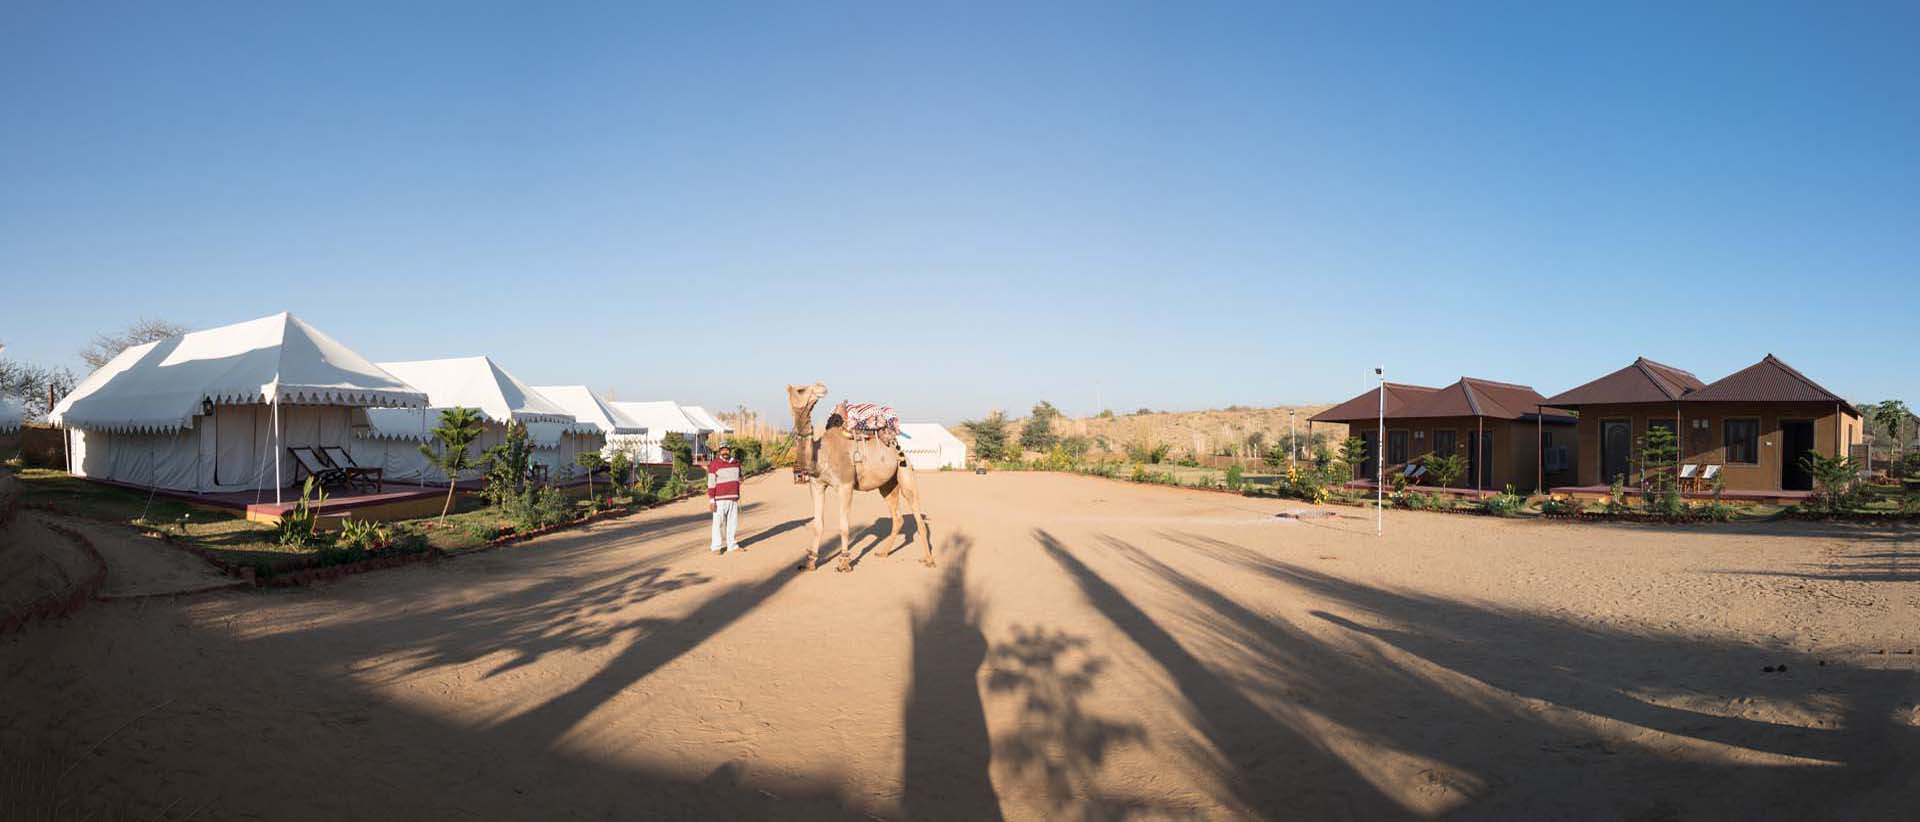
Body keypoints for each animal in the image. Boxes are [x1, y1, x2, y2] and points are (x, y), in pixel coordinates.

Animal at [779, 380, 929, 568]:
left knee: (916, 511)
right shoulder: (816, 485)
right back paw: (883, 552)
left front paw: (844, 562)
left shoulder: (845, 485)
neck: (820, 455)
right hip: (887, 484)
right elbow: (817, 524)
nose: (821, 387)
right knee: (897, 517)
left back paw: (929, 559)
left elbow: (844, 525)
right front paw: (811, 562)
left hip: (905, 469)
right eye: (800, 390)